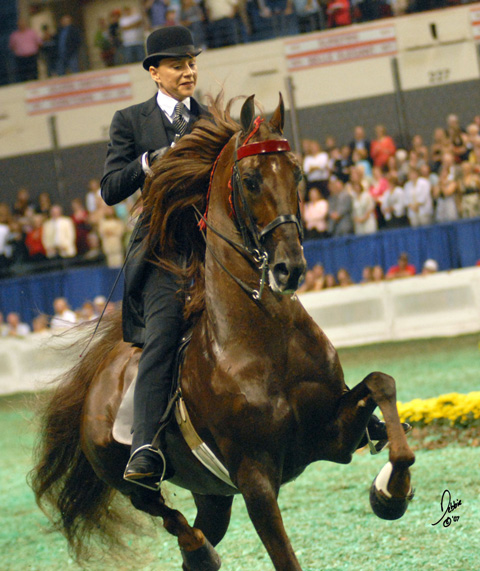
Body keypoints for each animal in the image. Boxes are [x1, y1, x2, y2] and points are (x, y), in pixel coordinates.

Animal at [30, 94, 414, 571]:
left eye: (297, 173)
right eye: (249, 181)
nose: (289, 268)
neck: (267, 336)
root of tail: (99, 380)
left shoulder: (332, 436)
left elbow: (382, 384)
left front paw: (390, 492)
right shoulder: (254, 480)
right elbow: (284, 557)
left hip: (212, 494)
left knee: (193, 531)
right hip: (128, 477)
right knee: (166, 513)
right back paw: (197, 547)